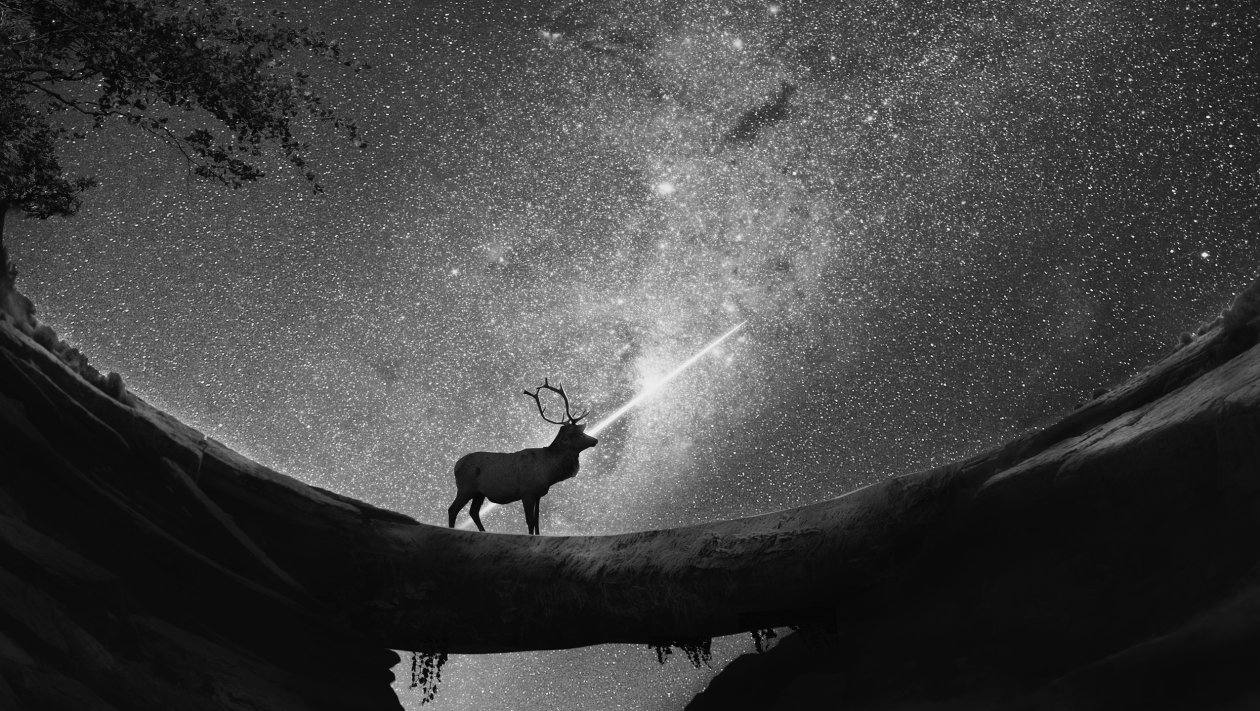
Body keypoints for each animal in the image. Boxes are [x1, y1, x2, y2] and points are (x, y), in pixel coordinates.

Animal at [448, 379, 598, 535]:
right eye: (578, 433)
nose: (595, 440)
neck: (550, 472)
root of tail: (456, 465)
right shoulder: (527, 492)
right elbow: (530, 522)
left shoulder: (538, 494)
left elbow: (537, 522)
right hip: (465, 488)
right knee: (453, 510)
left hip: (478, 493)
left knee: (473, 512)